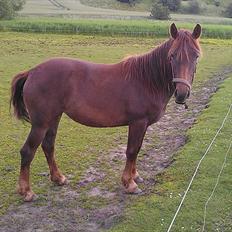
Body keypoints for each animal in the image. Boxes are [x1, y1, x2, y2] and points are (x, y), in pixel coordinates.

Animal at [10, 23, 201, 201]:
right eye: (172, 55)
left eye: (196, 56)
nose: (182, 94)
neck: (147, 80)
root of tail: (32, 72)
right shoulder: (138, 122)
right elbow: (132, 150)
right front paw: (129, 183)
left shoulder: (144, 124)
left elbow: (138, 148)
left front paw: (135, 176)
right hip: (40, 123)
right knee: (27, 151)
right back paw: (27, 191)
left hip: (54, 118)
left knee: (48, 146)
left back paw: (58, 178)